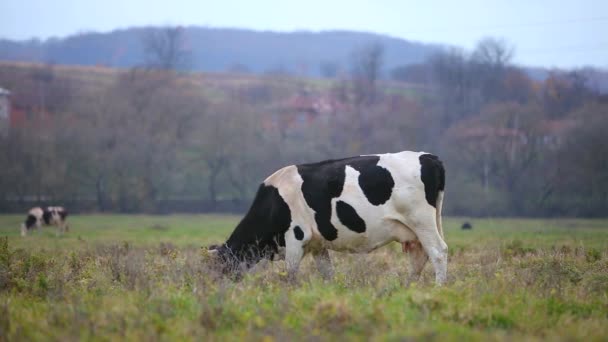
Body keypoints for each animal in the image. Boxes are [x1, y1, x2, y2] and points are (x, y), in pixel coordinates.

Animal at [209, 151, 446, 284]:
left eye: (223, 267)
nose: (217, 290)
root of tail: (428, 157)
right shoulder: (317, 245)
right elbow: (327, 273)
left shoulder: (296, 237)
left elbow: (290, 275)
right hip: (416, 230)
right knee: (419, 258)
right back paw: (407, 287)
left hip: (421, 220)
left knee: (438, 252)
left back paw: (438, 287)